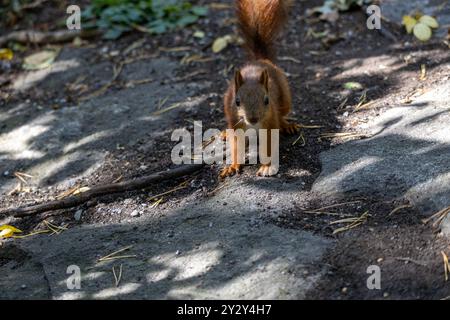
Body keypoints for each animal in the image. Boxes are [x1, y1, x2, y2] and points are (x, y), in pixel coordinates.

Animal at [221, 0, 300, 179]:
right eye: (237, 101)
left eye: (266, 100)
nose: (253, 118)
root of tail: (260, 60)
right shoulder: (236, 124)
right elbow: (236, 146)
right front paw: (232, 166)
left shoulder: (270, 122)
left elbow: (269, 145)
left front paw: (267, 167)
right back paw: (224, 133)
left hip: (285, 98)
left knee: (281, 114)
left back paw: (287, 125)